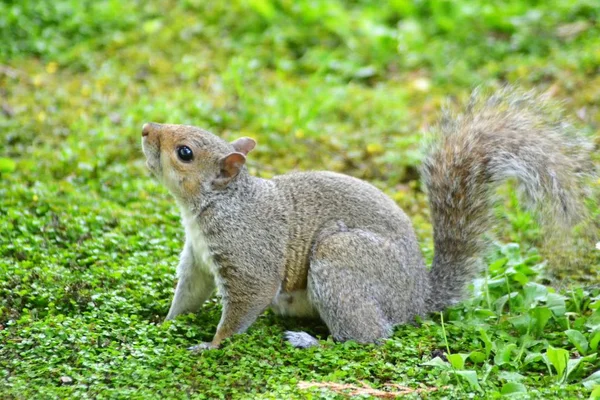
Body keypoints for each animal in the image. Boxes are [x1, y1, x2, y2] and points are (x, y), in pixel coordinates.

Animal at [142, 86, 596, 350]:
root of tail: (416, 299)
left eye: (185, 152)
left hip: (341, 260)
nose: (146, 128)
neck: (215, 206)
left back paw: (311, 341)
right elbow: (188, 296)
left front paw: (210, 345)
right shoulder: (198, 260)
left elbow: (243, 306)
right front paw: (162, 324)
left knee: (368, 337)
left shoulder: (247, 253)